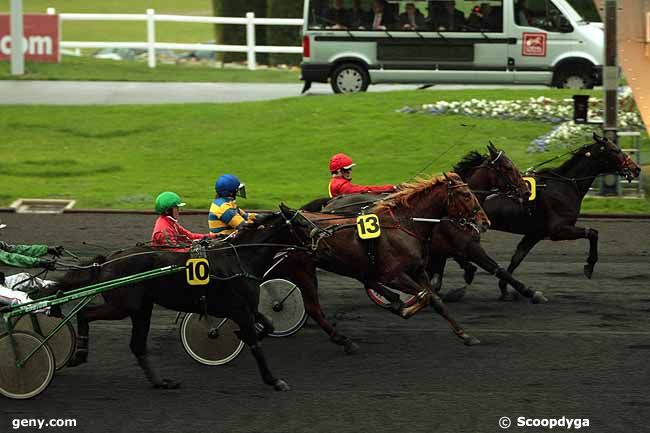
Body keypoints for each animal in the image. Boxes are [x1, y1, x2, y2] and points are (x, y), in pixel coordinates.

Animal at [52, 216, 302, 392]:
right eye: (301, 222)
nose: (314, 238)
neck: (237, 259)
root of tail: (107, 261)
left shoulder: (247, 308)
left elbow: (268, 324)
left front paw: (248, 334)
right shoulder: (239, 309)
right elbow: (256, 347)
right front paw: (274, 380)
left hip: (142, 309)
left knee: (137, 345)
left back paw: (161, 382)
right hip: (122, 306)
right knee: (85, 313)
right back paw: (79, 353)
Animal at [270, 170, 492, 350]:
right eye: (466, 194)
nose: (485, 222)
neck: (404, 226)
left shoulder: (417, 270)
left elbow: (435, 300)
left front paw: (465, 335)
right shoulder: (393, 275)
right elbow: (424, 296)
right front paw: (402, 309)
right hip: (303, 269)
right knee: (313, 306)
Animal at [480, 133, 636, 296]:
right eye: (615, 150)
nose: (636, 168)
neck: (565, 185)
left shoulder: (535, 234)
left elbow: (517, 257)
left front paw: (504, 287)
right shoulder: (558, 230)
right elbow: (593, 233)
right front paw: (589, 265)